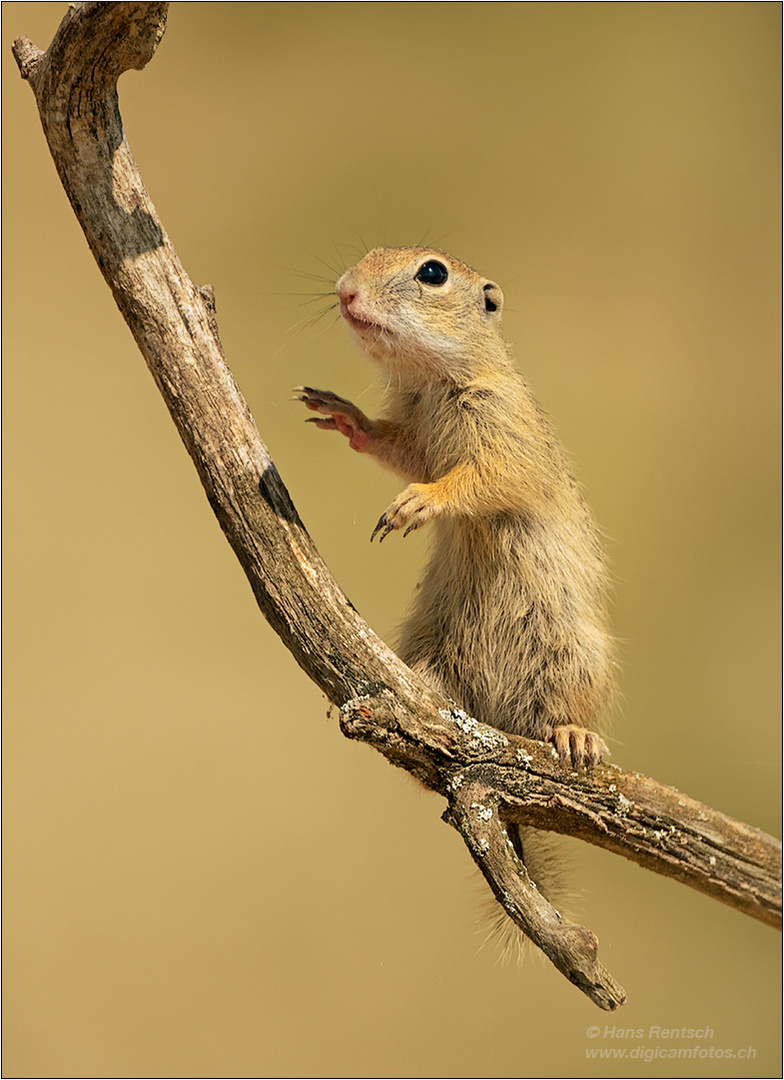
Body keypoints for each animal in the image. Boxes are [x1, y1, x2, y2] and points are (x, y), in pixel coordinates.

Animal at [293, 247, 613, 937]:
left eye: (433, 273)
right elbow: (396, 447)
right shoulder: (417, 433)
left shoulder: (500, 428)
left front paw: (418, 504)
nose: (345, 291)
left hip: (573, 653)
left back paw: (575, 736)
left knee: (566, 707)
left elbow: (482, 478)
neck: (435, 381)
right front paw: (344, 415)